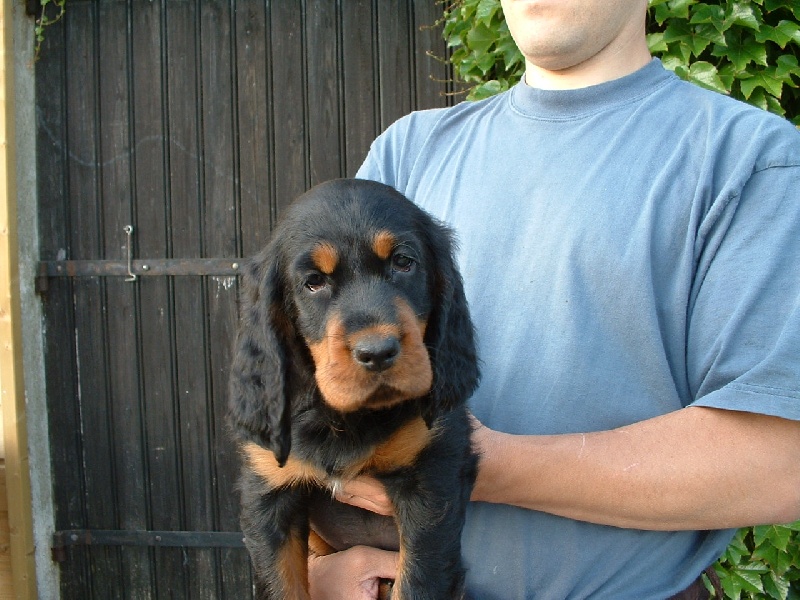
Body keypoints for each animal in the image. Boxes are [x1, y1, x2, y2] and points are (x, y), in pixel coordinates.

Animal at [228, 179, 479, 599]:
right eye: (313, 282)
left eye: (403, 262)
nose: (377, 353)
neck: (345, 418)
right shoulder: (268, 492)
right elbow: (281, 585)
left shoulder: (432, 481)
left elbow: (418, 581)